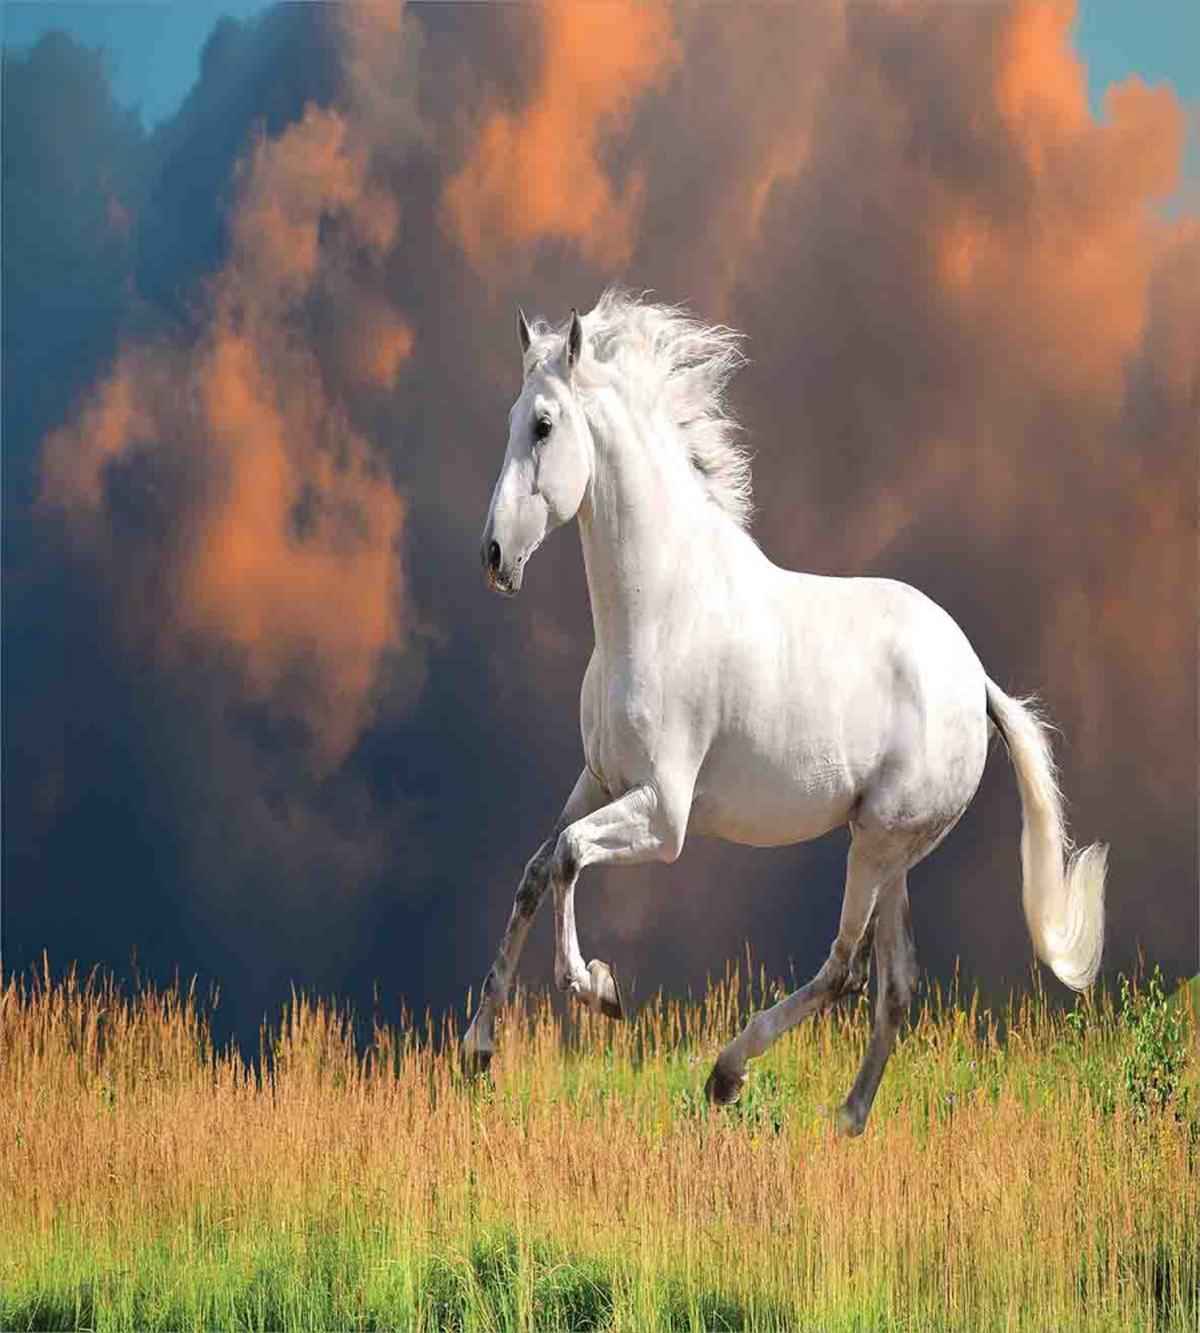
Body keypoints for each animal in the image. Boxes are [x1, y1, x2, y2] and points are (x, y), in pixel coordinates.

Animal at [462, 290, 1106, 1136]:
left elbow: (568, 856)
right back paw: (847, 1120)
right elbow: (536, 871)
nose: (495, 558)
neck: (657, 608)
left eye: (542, 424)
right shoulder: (598, 780)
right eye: (508, 417)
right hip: (895, 853)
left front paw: (597, 988)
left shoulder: (664, 816)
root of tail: (976, 683)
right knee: (892, 983)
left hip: (876, 841)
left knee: (843, 968)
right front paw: (478, 1047)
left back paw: (728, 1074)